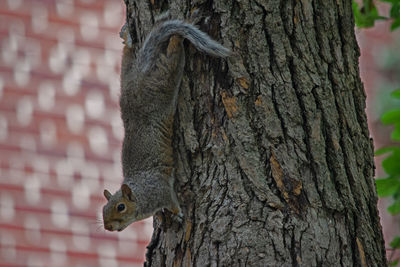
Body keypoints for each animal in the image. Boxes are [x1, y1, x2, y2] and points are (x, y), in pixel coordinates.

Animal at [101, 19, 230, 232]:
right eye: (103, 209)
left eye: (120, 207)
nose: (108, 227)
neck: (140, 195)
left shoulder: (160, 191)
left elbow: (172, 202)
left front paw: (178, 214)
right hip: (127, 79)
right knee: (128, 57)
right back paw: (128, 37)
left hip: (161, 85)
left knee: (171, 59)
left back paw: (176, 38)